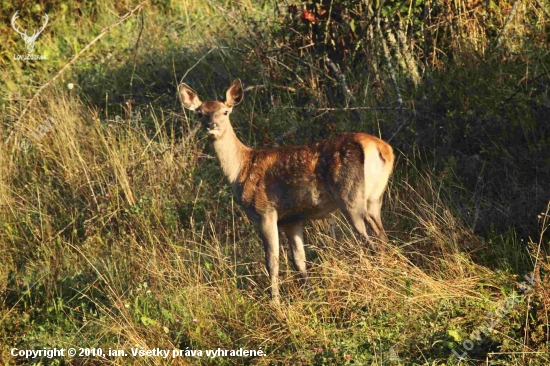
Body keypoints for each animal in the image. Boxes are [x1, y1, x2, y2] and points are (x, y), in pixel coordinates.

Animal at [179, 80, 394, 306]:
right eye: (200, 114)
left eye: (225, 112)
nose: (212, 126)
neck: (241, 169)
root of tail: (383, 149)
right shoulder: (292, 219)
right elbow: (299, 260)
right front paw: (310, 295)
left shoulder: (265, 211)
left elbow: (272, 261)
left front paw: (275, 302)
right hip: (375, 198)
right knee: (382, 234)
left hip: (349, 194)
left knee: (371, 238)